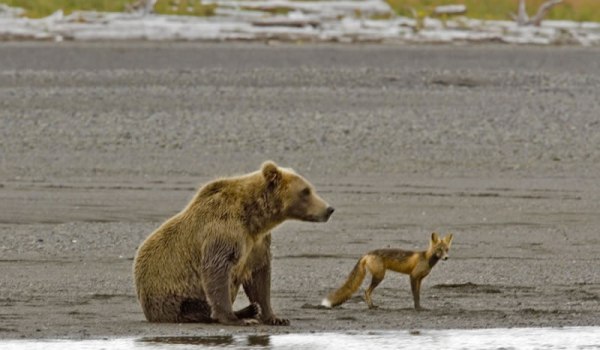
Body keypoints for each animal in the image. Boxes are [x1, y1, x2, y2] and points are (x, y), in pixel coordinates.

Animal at [133, 161, 336, 326]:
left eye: (310, 189)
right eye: (305, 191)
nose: (329, 209)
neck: (254, 218)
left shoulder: (257, 243)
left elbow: (259, 276)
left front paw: (275, 317)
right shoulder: (224, 231)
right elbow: (218, 270)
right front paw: (234, 319)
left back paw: (251, 309)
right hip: (172, 297)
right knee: (194, 308)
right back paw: (244, 313)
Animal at [322, 234, 452, 310]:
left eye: (446, 250)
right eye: (439, 250)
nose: (446, 258)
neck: (426, 258)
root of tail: (367, 253)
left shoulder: (419, 279)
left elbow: (418, 295)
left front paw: (420, 307)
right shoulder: (413, 276)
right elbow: (415, 295)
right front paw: (417, 308)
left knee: (367, 292)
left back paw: (372, 305)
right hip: (379, 276)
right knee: (366, 291)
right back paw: (371, 307)